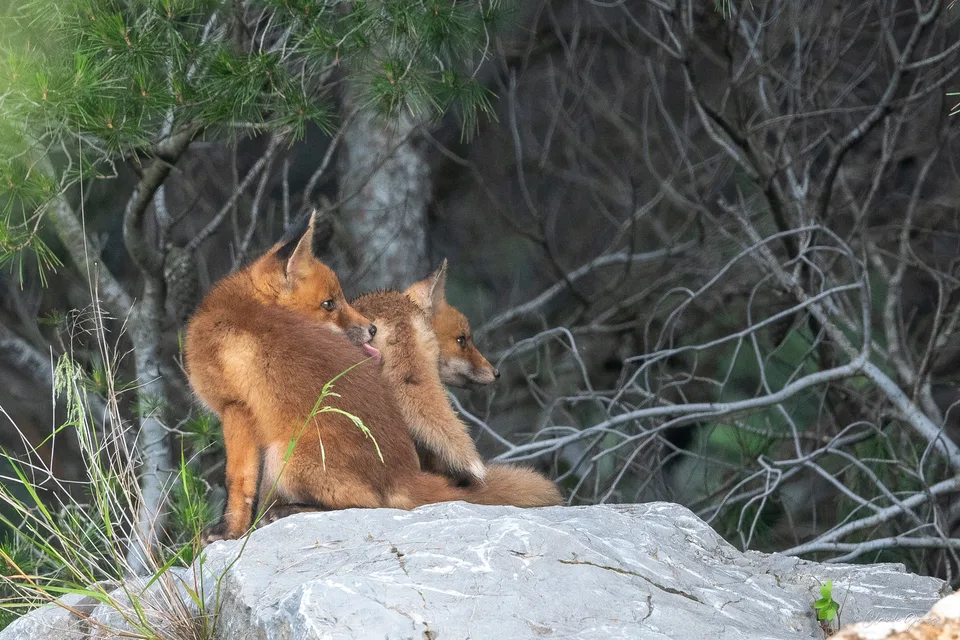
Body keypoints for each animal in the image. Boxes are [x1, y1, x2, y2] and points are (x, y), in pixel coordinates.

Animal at [185, 212, 560, 542]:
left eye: (340, 299)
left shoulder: (235, 409)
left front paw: (228, 533)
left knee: (366, 503)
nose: (372, 328)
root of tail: (404, 474)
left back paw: (289, 511)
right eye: (329, 303)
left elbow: (237, 482)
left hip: (288, 452)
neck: (238, 310)